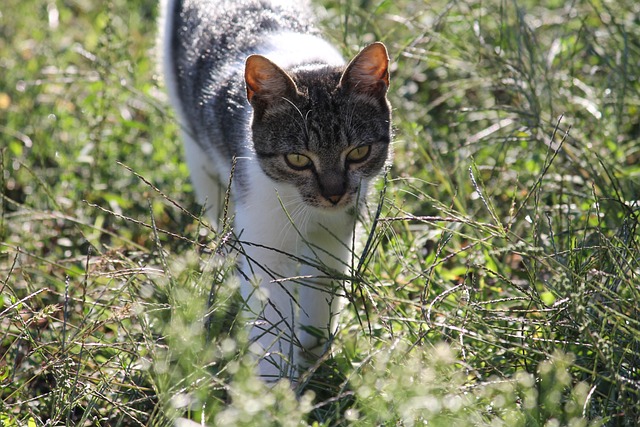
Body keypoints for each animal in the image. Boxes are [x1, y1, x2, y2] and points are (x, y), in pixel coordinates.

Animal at [158, 0, 392, 382]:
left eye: (358, 152)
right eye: (297, 159)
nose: (334, 194)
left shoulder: (333, 239)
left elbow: (321, 299)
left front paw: (312, 355)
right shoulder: (264, 248)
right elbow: (271, 324)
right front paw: (272, 387)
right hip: (196, 148)